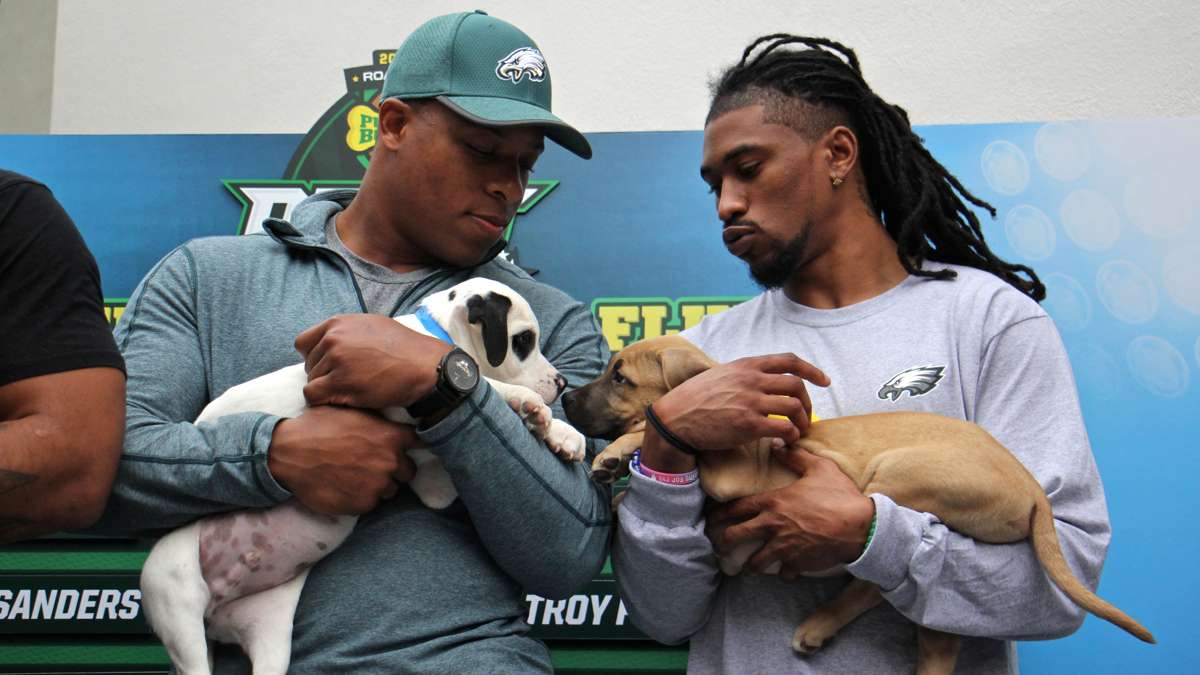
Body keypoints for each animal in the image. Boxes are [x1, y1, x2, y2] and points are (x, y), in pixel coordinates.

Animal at [561, 333, 1152, 672]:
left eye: (620, 376)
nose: (565, 396)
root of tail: (1032, 491)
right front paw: (617, 489)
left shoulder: (737, 472)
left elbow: (654, 425)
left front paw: (616, 452)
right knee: (936, 643)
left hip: (894, 476)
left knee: (874, 570)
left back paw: (818, 625)